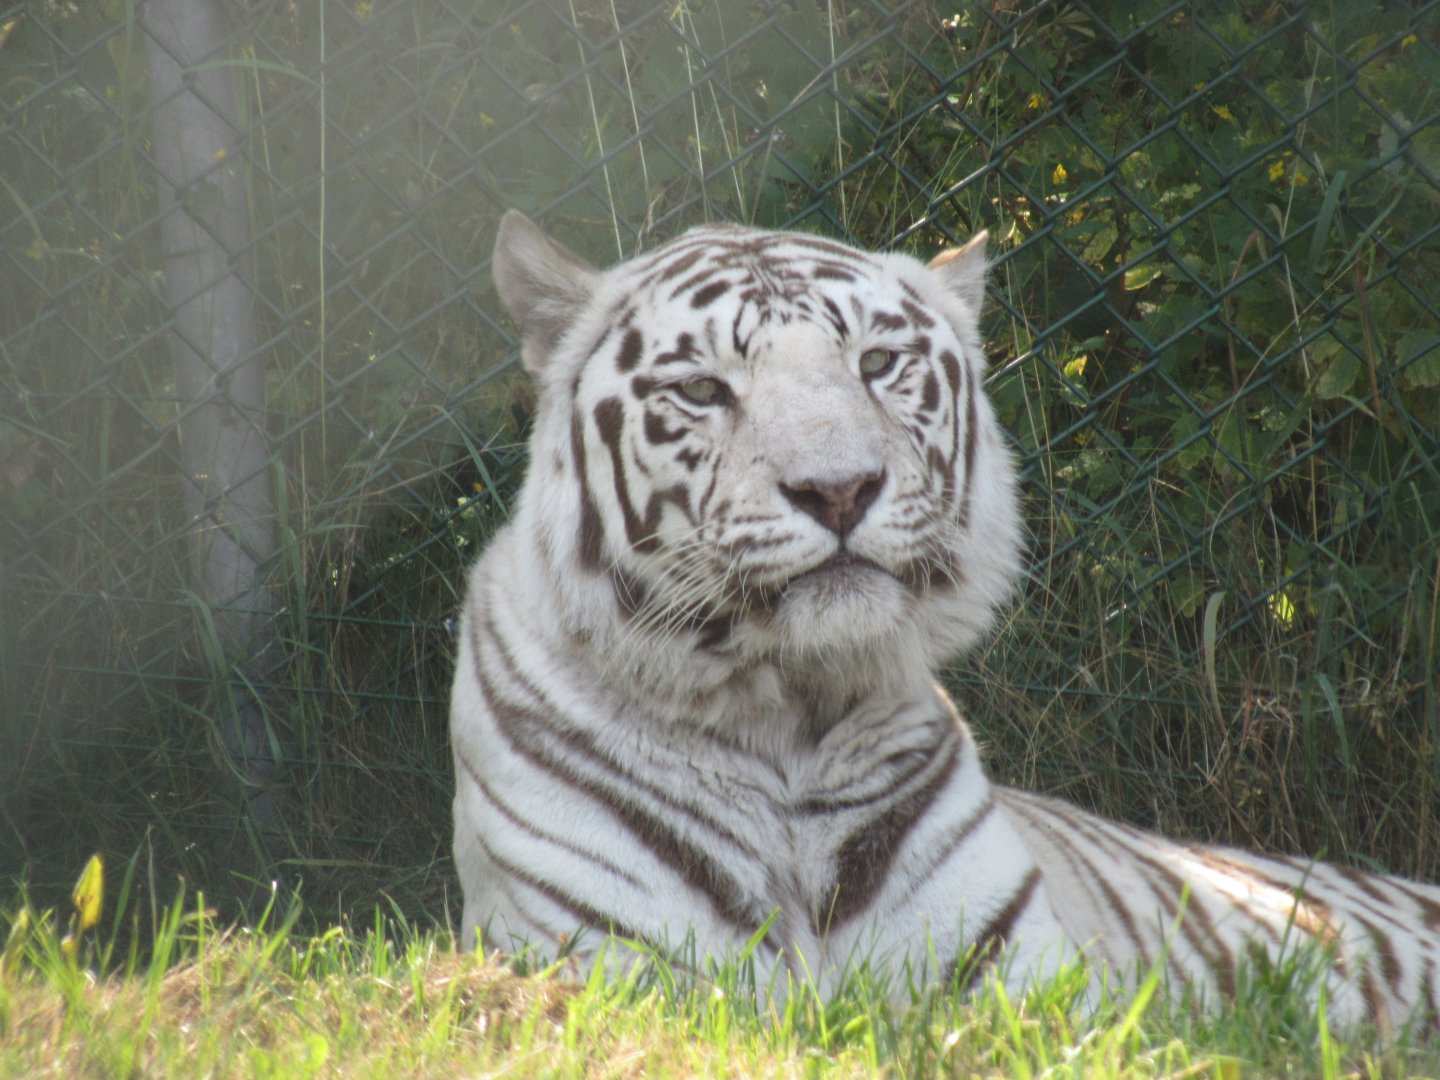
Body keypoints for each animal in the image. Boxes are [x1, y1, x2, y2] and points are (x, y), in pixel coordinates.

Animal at [449, 210, 1440, 1030]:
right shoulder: (621, 972)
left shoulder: (1023, 986)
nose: (839, 489)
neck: (785, 719)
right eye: (701, 389)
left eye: (878, 364)